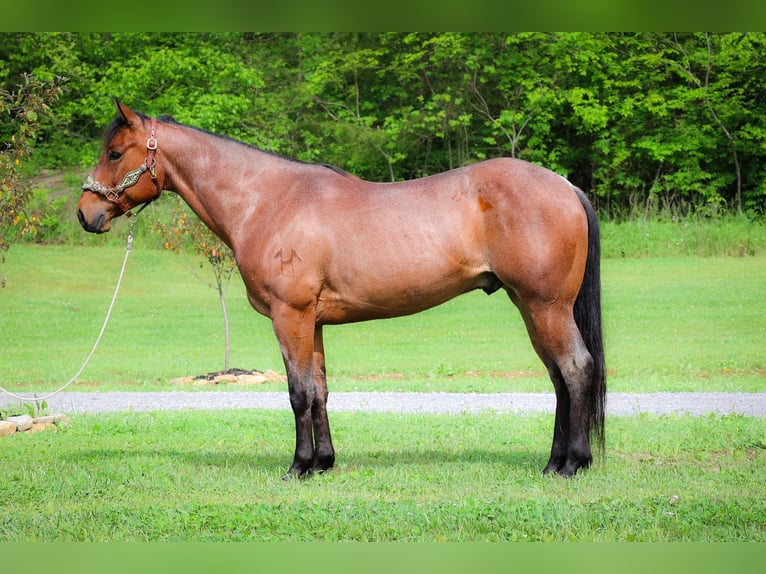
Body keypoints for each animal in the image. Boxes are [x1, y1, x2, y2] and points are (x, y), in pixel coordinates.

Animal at [76, 100, 608, 482]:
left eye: (115, 153)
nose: (86, 214)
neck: (266, 200)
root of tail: (565, 186)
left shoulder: (289, 315)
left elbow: (297, 392)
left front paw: (298, 467)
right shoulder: (311, 321)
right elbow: (320, 391)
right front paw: (323, 463)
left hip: (546, 306)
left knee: (576, 369)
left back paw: (572, 464)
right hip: (531, 307)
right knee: (558, 377)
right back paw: (553, 462)